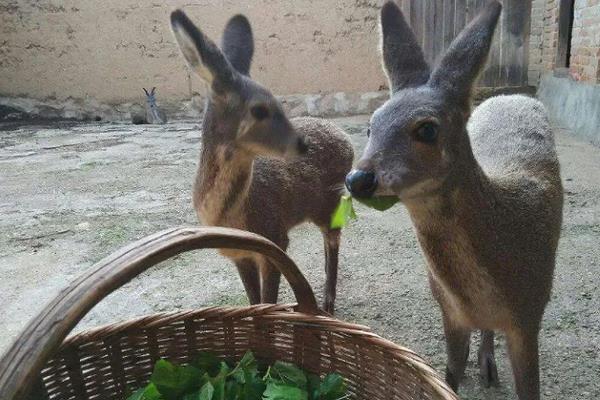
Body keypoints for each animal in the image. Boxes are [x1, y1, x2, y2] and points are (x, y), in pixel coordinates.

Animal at [169, 10, 354, 314]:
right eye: (259, 110)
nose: (303, 144)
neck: (233, 219)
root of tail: (345, 136)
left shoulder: (276, 238)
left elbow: (268, 300)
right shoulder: (239, 255)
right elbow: (254, 300)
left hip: (331, 202)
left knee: (333, 243)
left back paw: (327, 303)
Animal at [344, 1, 564, 398]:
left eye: (428, 129)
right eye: (371, 125)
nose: (359, 179)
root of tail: (510, 95)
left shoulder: (531, 313)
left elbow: (530, 387)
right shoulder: (449, 312)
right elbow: (448, 377)